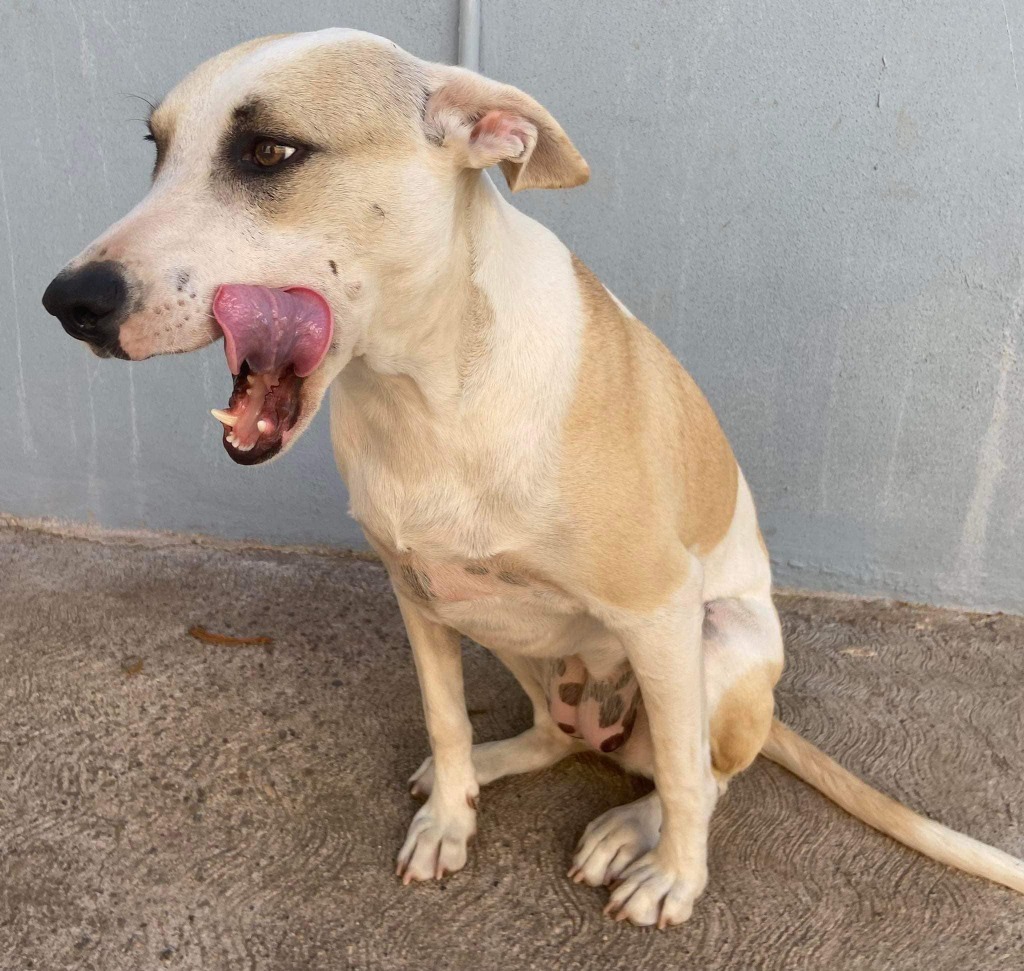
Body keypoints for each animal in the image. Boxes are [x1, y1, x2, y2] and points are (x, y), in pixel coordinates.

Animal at [39, 28, 1024, 925]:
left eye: (270, 151)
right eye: (156, 148)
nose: (68, 302)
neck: (429, 389)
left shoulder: (660, 608)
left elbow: (682, 771)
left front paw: (678, 879)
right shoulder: (417, 592)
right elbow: (444, 715)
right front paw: (451, 816)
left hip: (719, 640)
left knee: (702, 773)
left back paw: (635, 831)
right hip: (507, 626)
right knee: (558, 732)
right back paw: (496, 766)